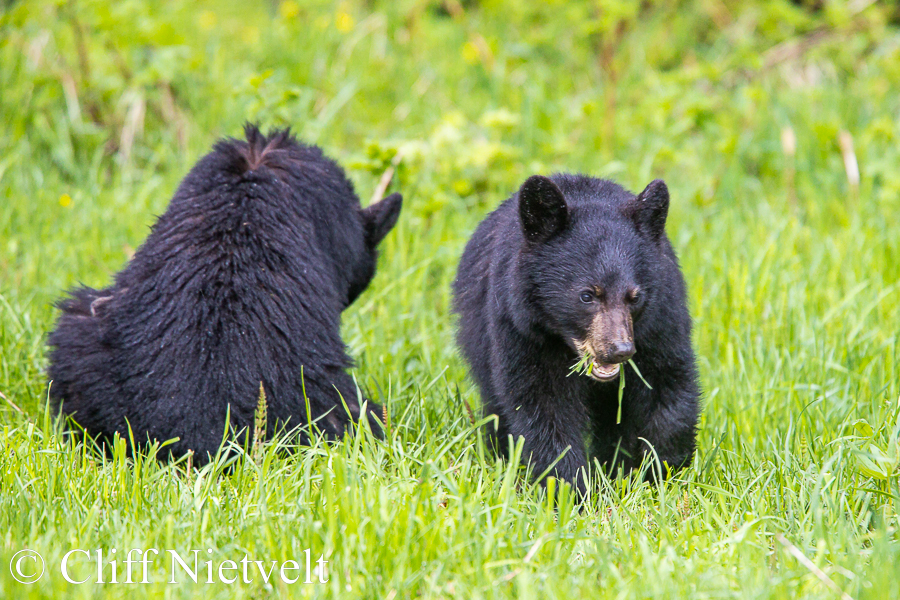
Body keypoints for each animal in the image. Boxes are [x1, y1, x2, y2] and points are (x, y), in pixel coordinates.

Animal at [452, 173, 700, 494]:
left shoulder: (660, 318)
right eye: (587, 296)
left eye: (634, 297)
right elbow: (543, 405)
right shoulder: (521, 329)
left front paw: (660, 471)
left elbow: (667, 384)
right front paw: (570, 487)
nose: (619, 350)